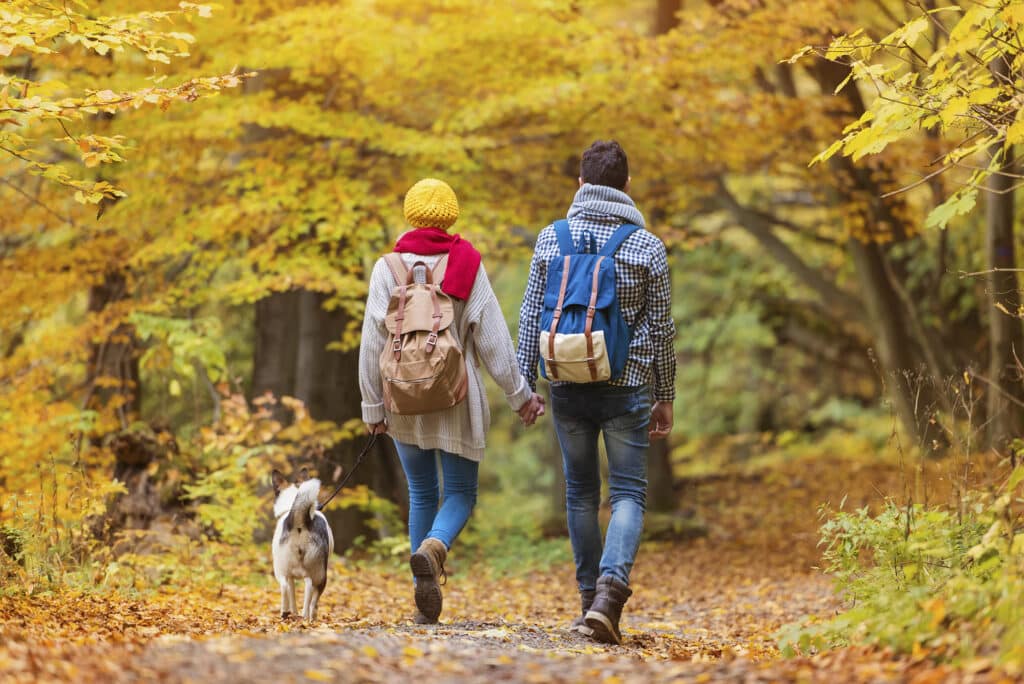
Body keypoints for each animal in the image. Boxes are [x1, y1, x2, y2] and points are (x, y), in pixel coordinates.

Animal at [272, 466, 335, 622]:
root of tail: (300, 521)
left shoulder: (289, 575)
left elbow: (292, 595)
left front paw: (293, 612)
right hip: (317, 573)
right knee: (310, 593)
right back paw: (307, 617)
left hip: (282, 569)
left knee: (286, 587)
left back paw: (286, 613)